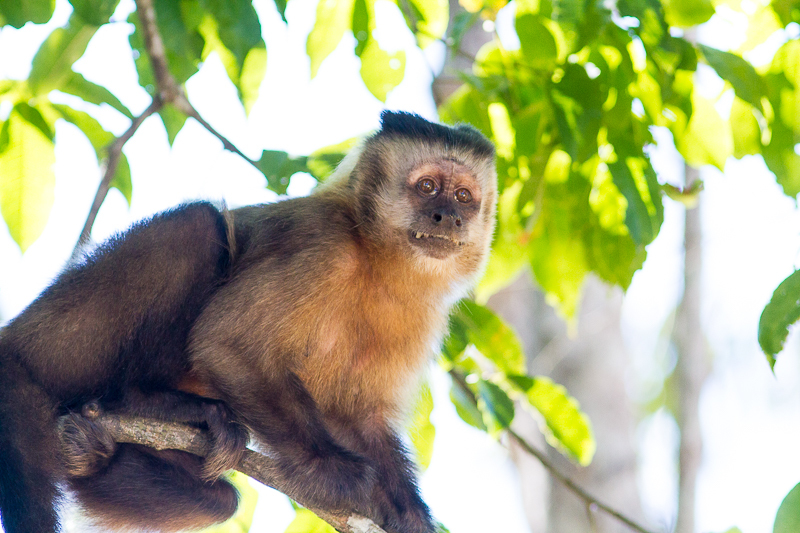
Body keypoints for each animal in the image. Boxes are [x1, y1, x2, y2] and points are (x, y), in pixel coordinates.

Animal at [0, 111, 496, 532]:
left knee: (219, 501)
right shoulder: (323, 246)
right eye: (427, 186)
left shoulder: (424, 315)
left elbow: (362, 418)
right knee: (199, 226)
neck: (379, 260)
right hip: (65, 339)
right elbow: (225, 342)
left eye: (464, 196)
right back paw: (148, 399)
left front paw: (409, 512)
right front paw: (330, 471)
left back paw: (91, 454)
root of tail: (18, 335)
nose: (447, 217)